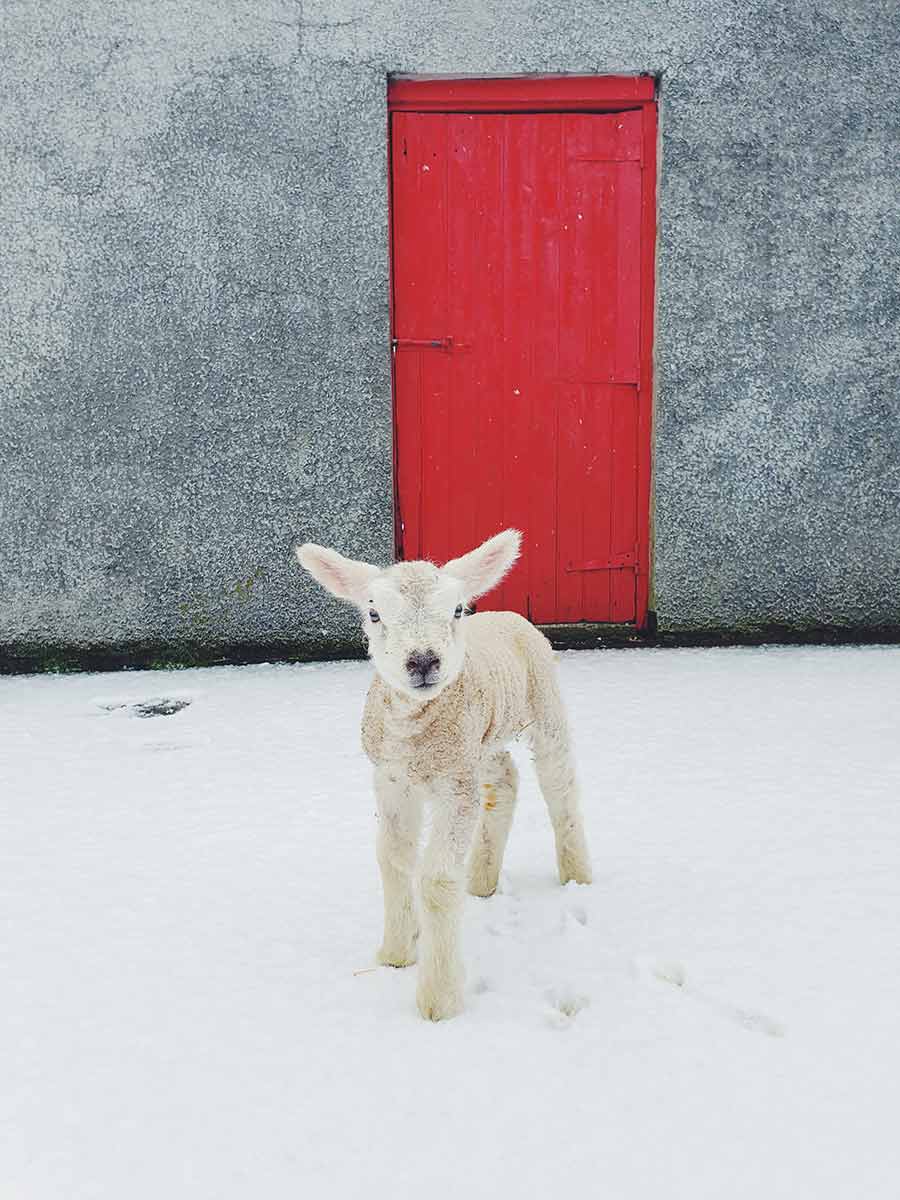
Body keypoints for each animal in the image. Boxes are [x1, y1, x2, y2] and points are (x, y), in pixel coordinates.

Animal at [296, 530, 592, 1017]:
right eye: (374, 613)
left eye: (455, 610)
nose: (422, 661)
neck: (414, 733)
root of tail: (508, 614)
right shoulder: (392, 778)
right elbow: (392, 858)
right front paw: (396, 951)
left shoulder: (454, 783)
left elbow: (435, 880)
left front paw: (439, 997)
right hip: (481, 741)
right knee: (504, 780)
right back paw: (482, 880)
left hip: (544, 707)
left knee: (560, 786)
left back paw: (576, 875)